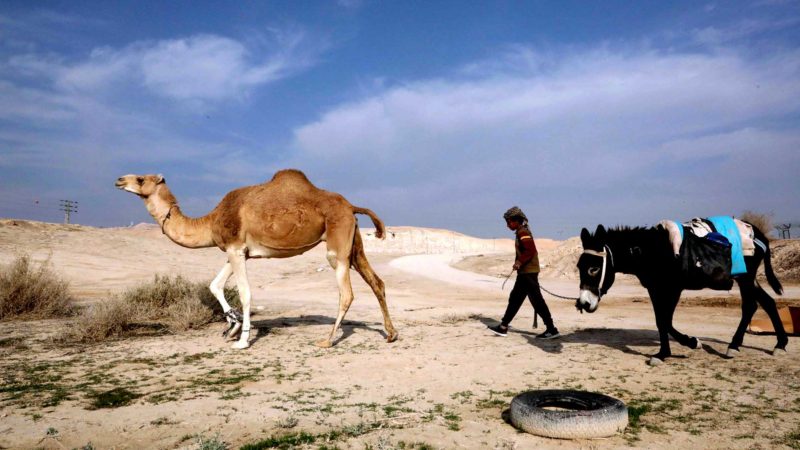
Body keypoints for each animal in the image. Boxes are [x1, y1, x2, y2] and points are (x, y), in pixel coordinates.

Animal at [115, 169, 396, 348]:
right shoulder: (239, 252)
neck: (211, 221)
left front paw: (242, 339)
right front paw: (232, 325)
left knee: (346, 293)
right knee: (376, 282)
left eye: (140, 178)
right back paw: (391, 334)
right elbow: (215, 285)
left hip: (337, 243)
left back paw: (327, 340)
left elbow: (245, 293)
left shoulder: (235, 249)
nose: (118, 180)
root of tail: (351, 206)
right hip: (353, 242)